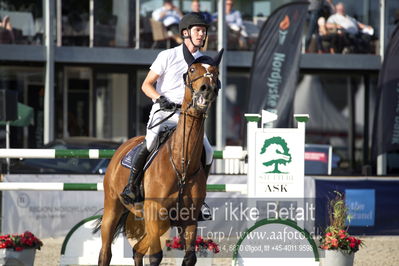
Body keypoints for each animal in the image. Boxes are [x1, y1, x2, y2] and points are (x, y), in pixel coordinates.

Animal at [95, 48, 223, 266]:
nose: (207, 89)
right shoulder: (155, 211)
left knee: (137, 250)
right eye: (192, 70)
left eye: (215, 71)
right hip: (113, 207)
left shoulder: (188, 218)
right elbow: (155, 257)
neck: (181, 164)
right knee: (105, 253)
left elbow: (189, 257)